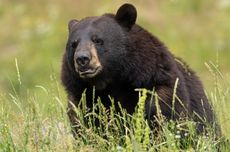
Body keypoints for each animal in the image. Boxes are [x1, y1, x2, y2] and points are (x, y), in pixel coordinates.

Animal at [61, 3, 216, 134]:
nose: (82, 59)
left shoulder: (157, 87)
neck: (111, 82)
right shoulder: (80, 98)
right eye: (74, 44)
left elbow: (163, 117)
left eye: (98, 40)